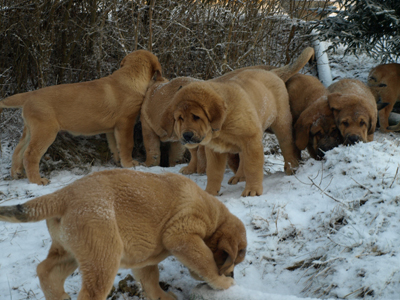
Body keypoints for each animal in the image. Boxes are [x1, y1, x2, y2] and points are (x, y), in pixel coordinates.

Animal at [0, 49, 162, 185]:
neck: (131, 76)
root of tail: (30, 95)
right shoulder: (126, 122)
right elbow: (127, 144)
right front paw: (129, 164)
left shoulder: (112, 128)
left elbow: (115, 146)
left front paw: (118, 162)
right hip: (45, 130)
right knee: (30, 154)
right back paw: (37, 181)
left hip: (30, 129)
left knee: (18, 150)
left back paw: (17, 173)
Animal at [0, 169, 247, 300]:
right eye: (232, 261)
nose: (233, 275)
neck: (215, 216)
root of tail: (62, 195)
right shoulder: (181, 236)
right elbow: (205, 262)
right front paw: (223, 282)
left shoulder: (145, 258)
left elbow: (151, 279)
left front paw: (162, 297)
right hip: (103, 256)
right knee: (88, 292)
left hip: (71, 251)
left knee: (45, 270)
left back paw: (58, 296)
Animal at [167, 47, 314, 197]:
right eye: (180, 118)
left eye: (196, 116)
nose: (186, 136)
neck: (222, 125)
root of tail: (272, 72)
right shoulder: (215, 150)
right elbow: (214, 172)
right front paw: (210, 193)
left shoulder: (251, 139)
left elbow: (252, 167)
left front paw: (252, 190)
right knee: (243, 157)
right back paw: (239, 176)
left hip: (281, 122)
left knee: (287, 144)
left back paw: (291, 168)